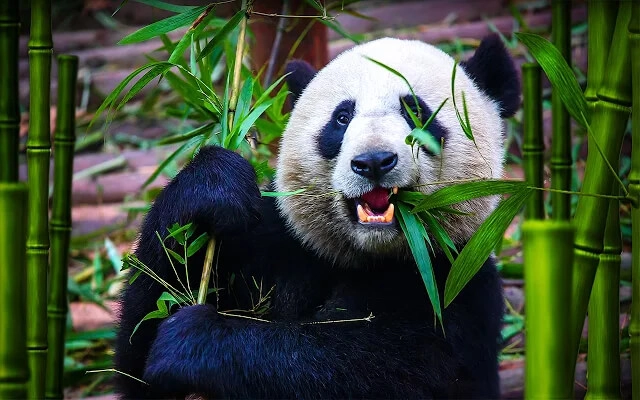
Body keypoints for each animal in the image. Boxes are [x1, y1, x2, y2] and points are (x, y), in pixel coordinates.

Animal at [114, 34, 520, 399]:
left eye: (416, 111)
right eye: (341, 117)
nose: (374, 161)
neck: (367, 257)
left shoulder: (455, 284)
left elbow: (382, 371)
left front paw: (194, 340)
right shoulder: (274, 244)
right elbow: (138, 360)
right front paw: (215, 186)